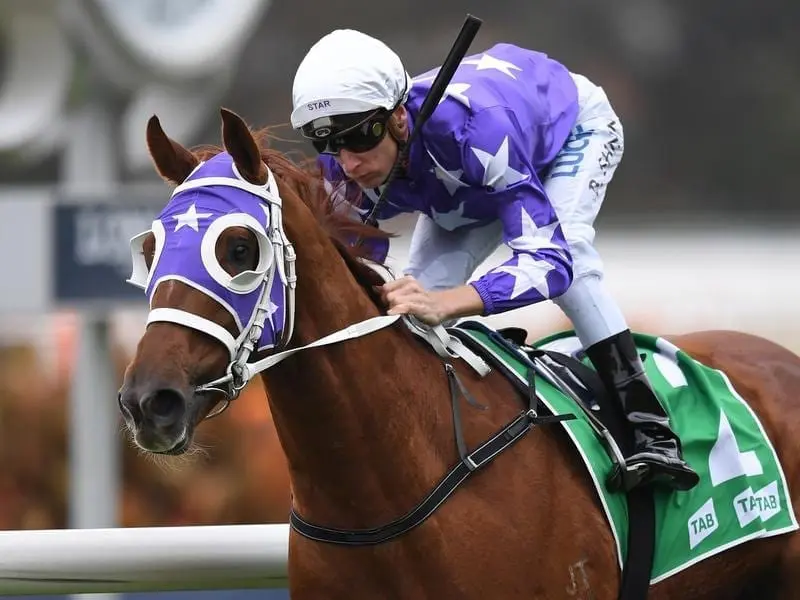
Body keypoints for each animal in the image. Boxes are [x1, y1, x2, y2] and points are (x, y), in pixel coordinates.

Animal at [117, 109, 800, 600]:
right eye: (148, 250)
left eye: (238, 248)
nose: (149, 401)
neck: (381, 497)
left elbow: (552, 256)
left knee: (574, 254)